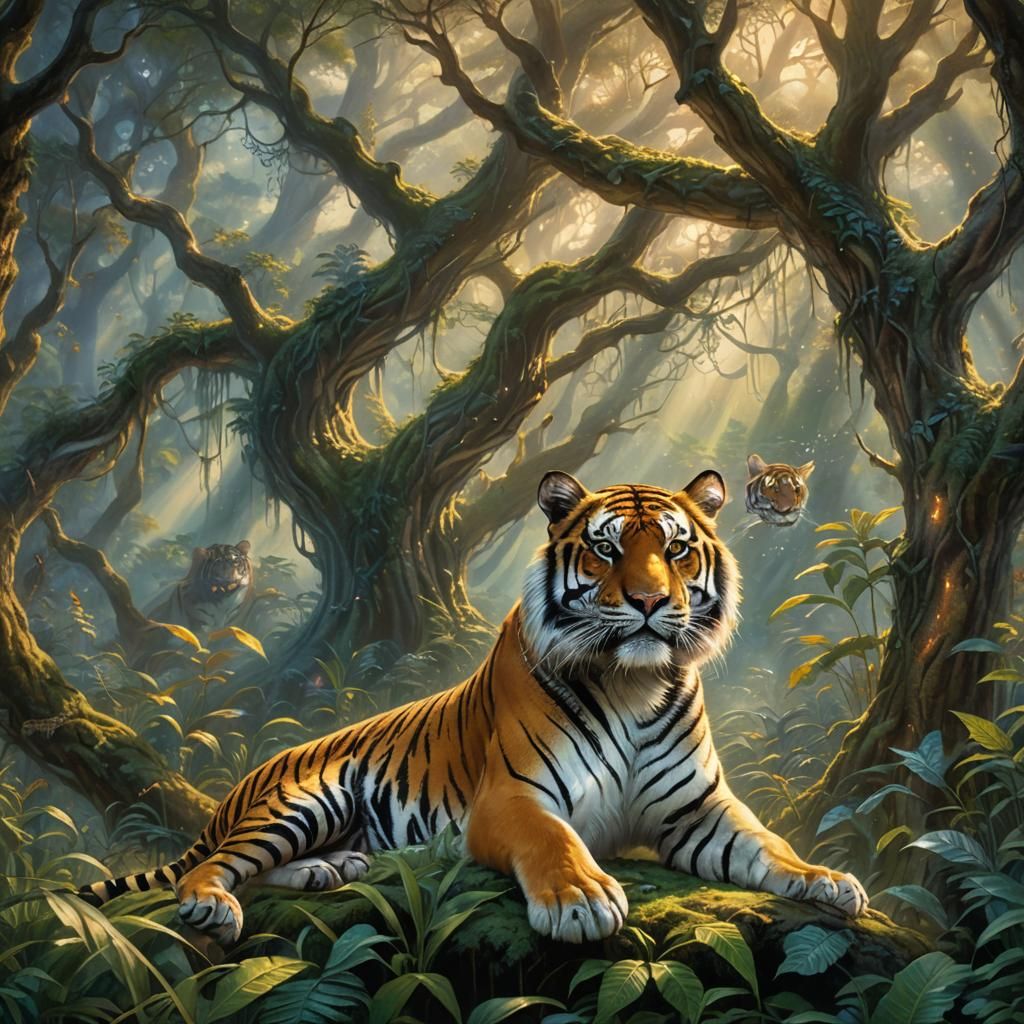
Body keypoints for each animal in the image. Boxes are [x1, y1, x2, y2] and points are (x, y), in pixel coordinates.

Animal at [81, 471, 867, 945]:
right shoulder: (510, 798)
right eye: (607, 550)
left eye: (675, 551)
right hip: (305, 802)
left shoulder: (697, 811)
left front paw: (826, 881)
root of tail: (240, 787)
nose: (648, 602)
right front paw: (581, 898)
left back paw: (326, 872)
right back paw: (215, 903)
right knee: (214, 866)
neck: (633, 683)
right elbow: (555, 841)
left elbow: (766, 843)